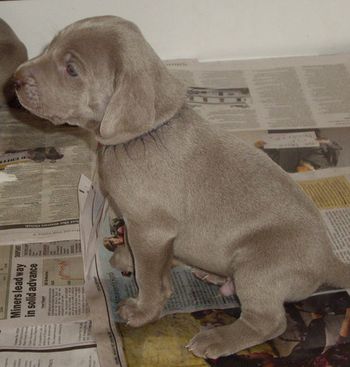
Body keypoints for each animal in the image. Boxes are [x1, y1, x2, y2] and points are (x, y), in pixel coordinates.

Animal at [14, 16, 350, 360]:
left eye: (71, 70)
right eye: (50, 46)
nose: (14, 80)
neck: (144, 135)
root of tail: (328, 260)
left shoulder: (151, 229)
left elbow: (150, 278)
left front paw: (142, 311)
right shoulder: (145, 229)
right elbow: (144, 257)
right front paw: (127, 258)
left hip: (259, 265)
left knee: (268, 322)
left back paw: (217, 339)